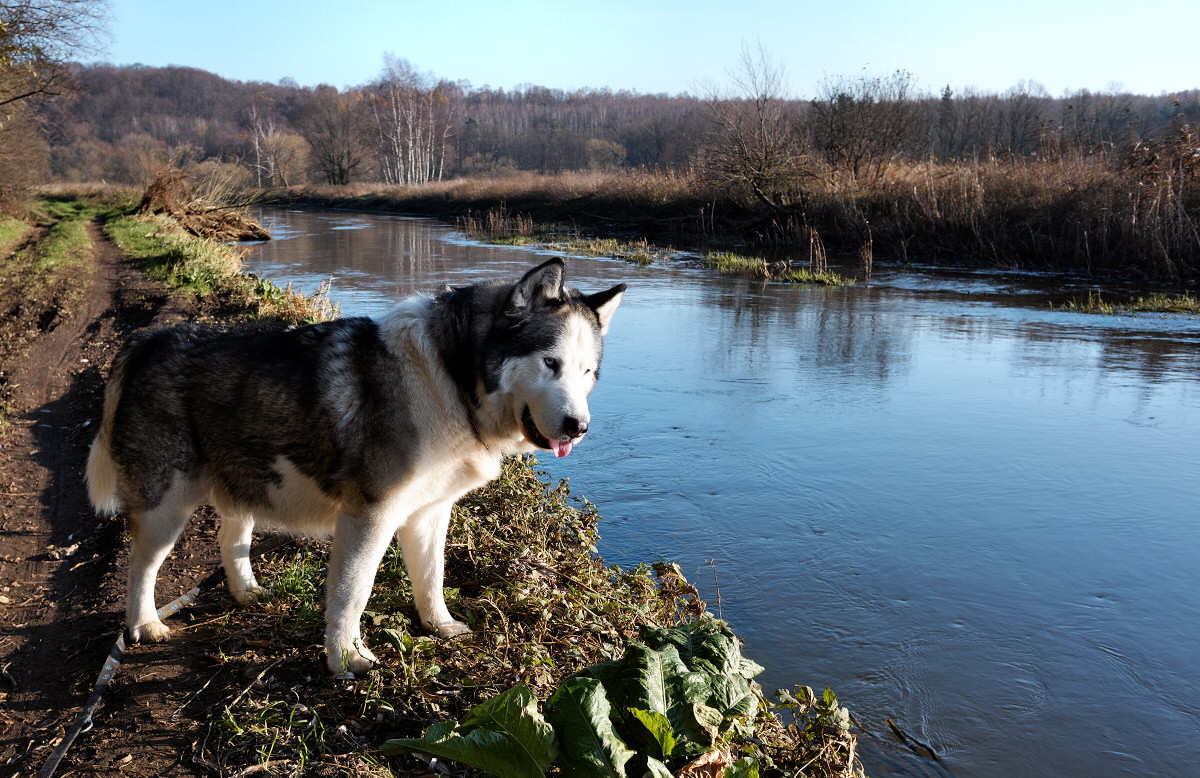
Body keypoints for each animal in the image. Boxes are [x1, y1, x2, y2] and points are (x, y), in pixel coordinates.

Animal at [83, 259, 624, 672]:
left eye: (588, 372)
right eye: (550, 363)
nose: (578, 427)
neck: (448, 377)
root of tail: (148, 340)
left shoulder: (428, 514)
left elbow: (431, 578)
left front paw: (439, 626)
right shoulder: (370, 516)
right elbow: (352, 594)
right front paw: (345, 659)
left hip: (243, 483)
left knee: (229, 536)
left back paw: (247, 593)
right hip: (165, 509)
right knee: (140, 567)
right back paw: (144, 624)